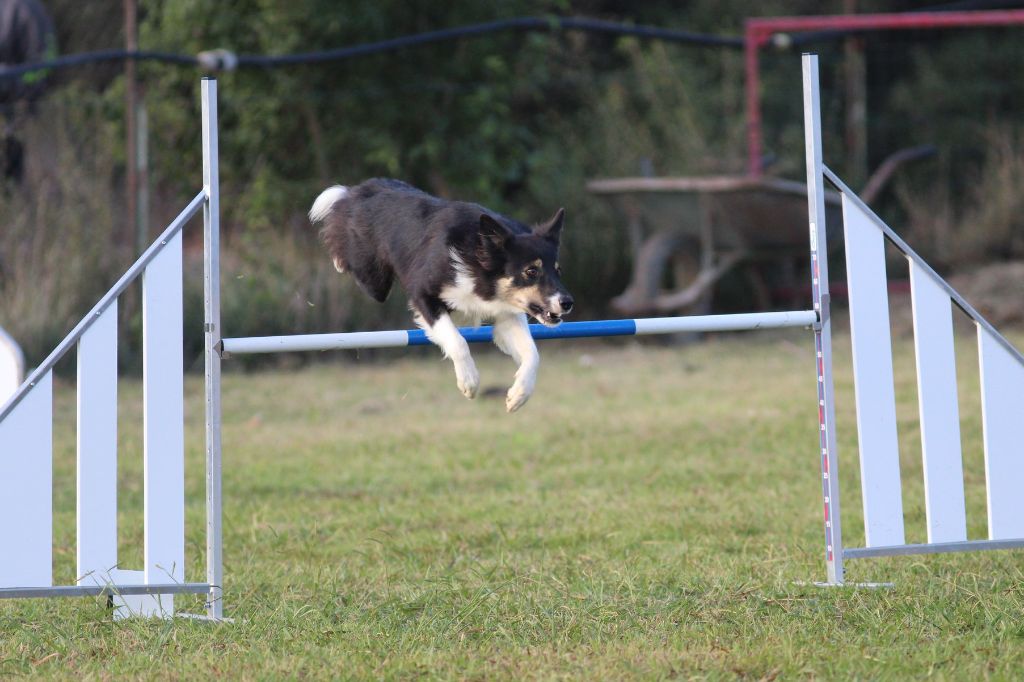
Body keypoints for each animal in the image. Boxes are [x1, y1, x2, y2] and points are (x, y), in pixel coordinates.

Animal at [307, 179, 573, 409]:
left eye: (558, 270)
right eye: (531, 271)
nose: (568, 303)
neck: (477, 260)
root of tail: (359, 190)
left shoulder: (505, 316)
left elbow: (533, 354)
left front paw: (519, 394)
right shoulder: (423, 295)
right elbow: (458, 341)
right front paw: (469, 381)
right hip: (374, 280)